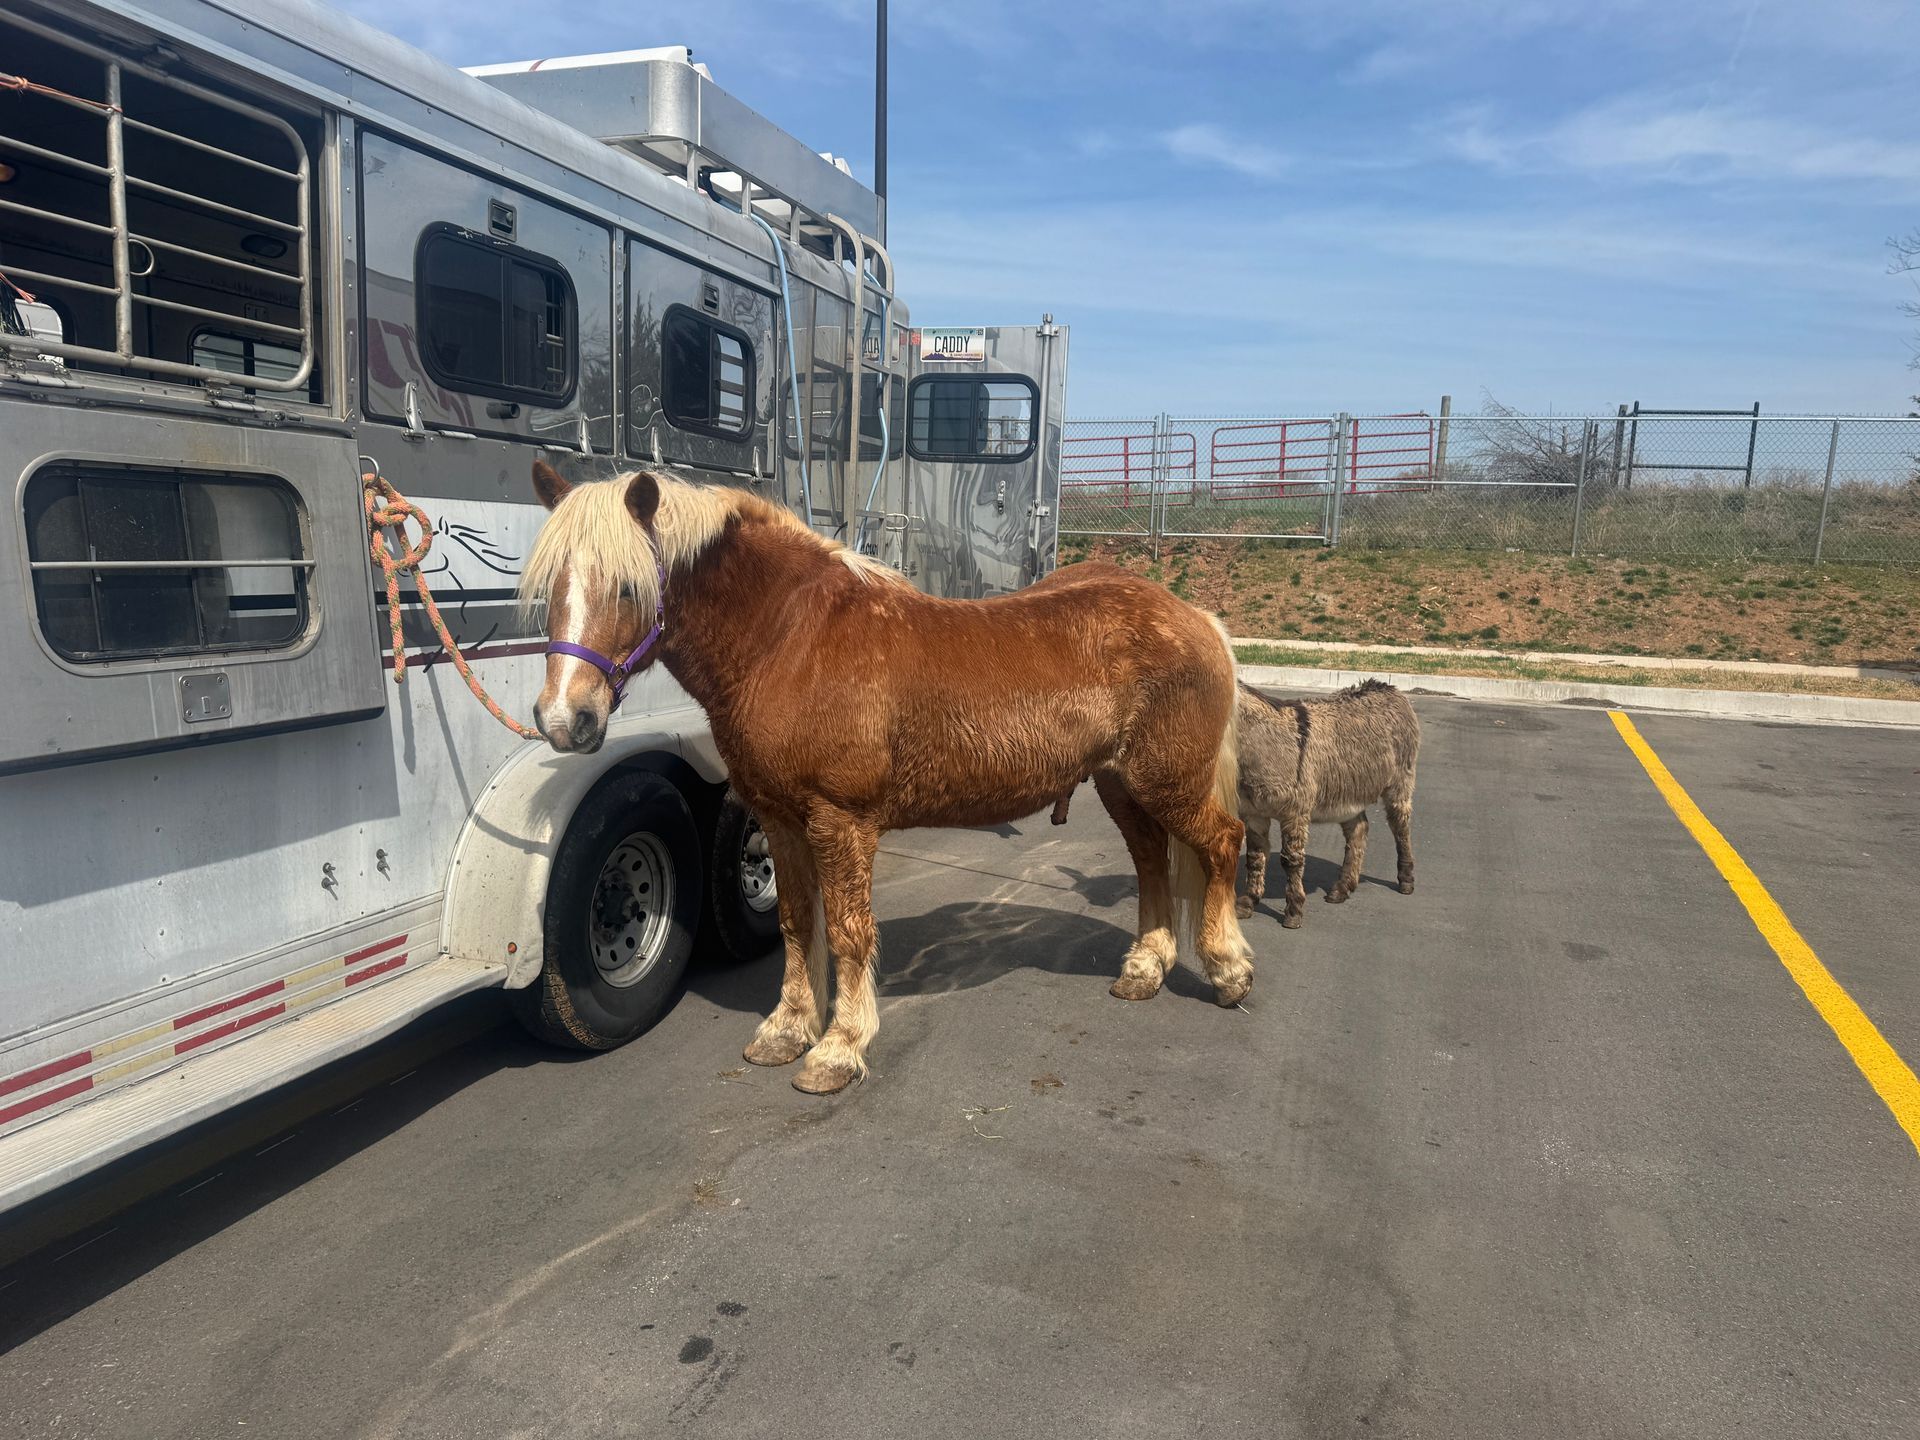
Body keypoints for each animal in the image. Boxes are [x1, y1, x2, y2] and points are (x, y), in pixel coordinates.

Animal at [519, 463, 1255, 1094]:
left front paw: (838, 1049)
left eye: (628, 587)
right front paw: (786, 1030)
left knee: (1221, 843)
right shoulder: (779, 818)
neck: (788, 640)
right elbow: (796, 921)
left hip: (1168, 782)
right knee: (1151, 859)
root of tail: (1196, 618)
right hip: (1123, 784)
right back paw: (1145, 968)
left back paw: (1227, 969)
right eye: (550, 587)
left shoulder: (839, 820)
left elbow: (849, 931)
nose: (564, 719)